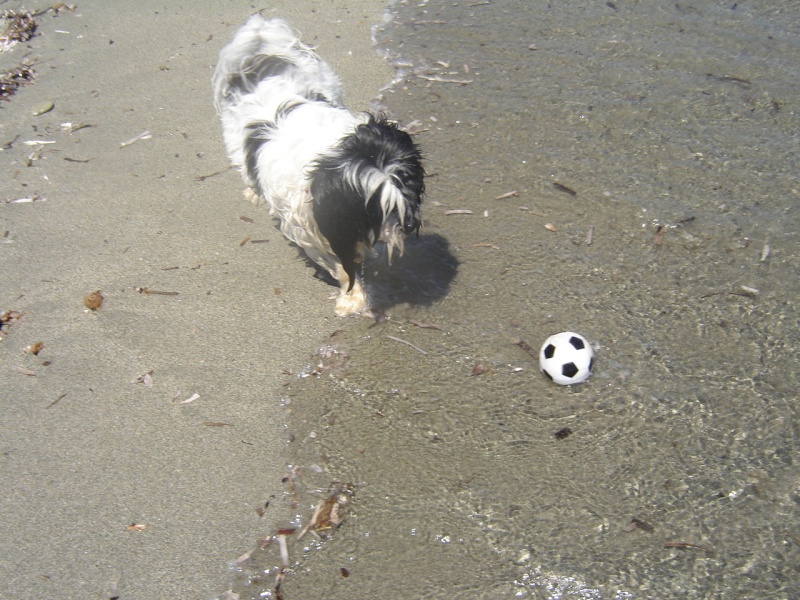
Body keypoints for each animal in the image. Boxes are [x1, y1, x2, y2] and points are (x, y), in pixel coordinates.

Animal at [212, 15, 424, 314]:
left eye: (410, 188)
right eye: (376, 209)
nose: (410, 224)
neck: (328, 159)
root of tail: (261, 44)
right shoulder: (310, 229)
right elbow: (341, 267)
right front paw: (352, 297)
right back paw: (253, 191)